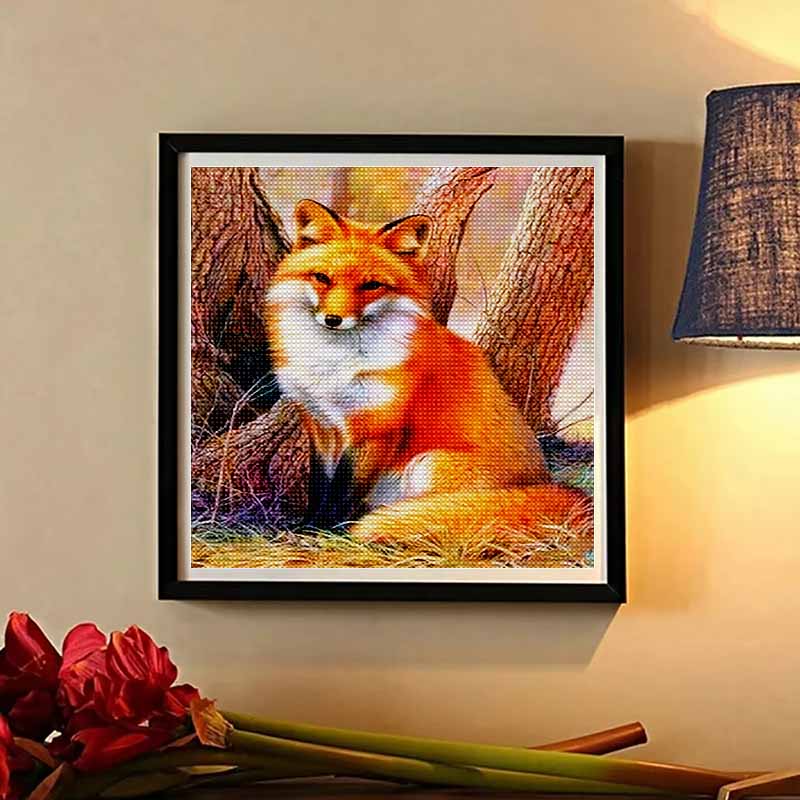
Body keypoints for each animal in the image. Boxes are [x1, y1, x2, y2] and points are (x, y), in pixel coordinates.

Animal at [265, 198, 591, 545]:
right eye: (322, 278)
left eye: (371, 285)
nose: (333, 319)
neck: (332, 363)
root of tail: (546, 483)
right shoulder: (321, 425)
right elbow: (320, 488)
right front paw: (305, 526)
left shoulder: (377, 428)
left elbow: (342, 492)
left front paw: (322, 533)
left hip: (429, 464)